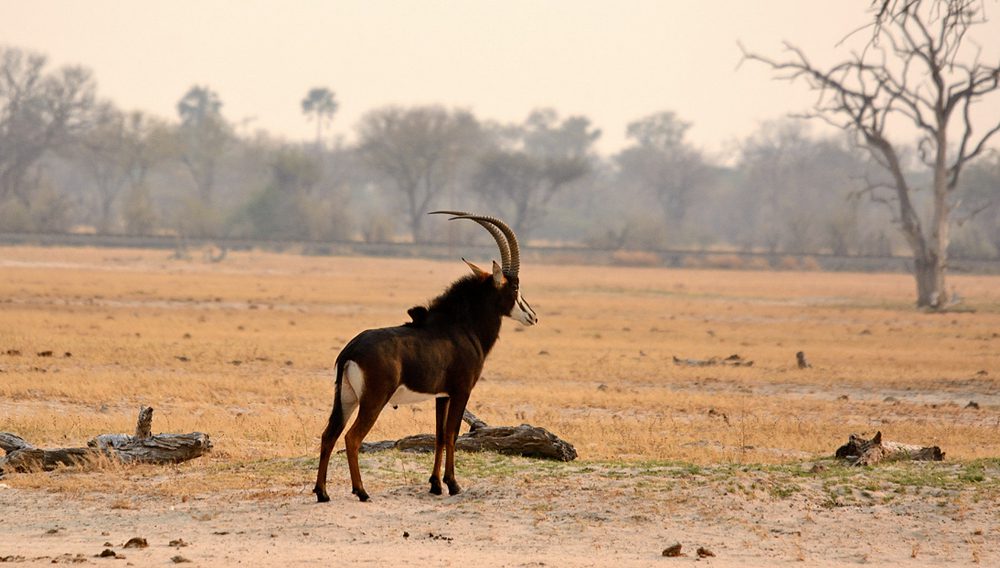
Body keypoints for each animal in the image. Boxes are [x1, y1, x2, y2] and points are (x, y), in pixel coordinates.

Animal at [313, 211, 538, 502]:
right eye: (514, 288)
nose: (532, 316)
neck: (461, 326)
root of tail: (351, 349)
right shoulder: (462, 391)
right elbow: (453, 434)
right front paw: (453, 484)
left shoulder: (441, 395)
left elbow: (439, 435)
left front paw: (435, 485)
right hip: (373, 400)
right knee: (352, 438)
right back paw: (361, 491)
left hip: (346, 398)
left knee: (328, 435)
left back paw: (322, 493)